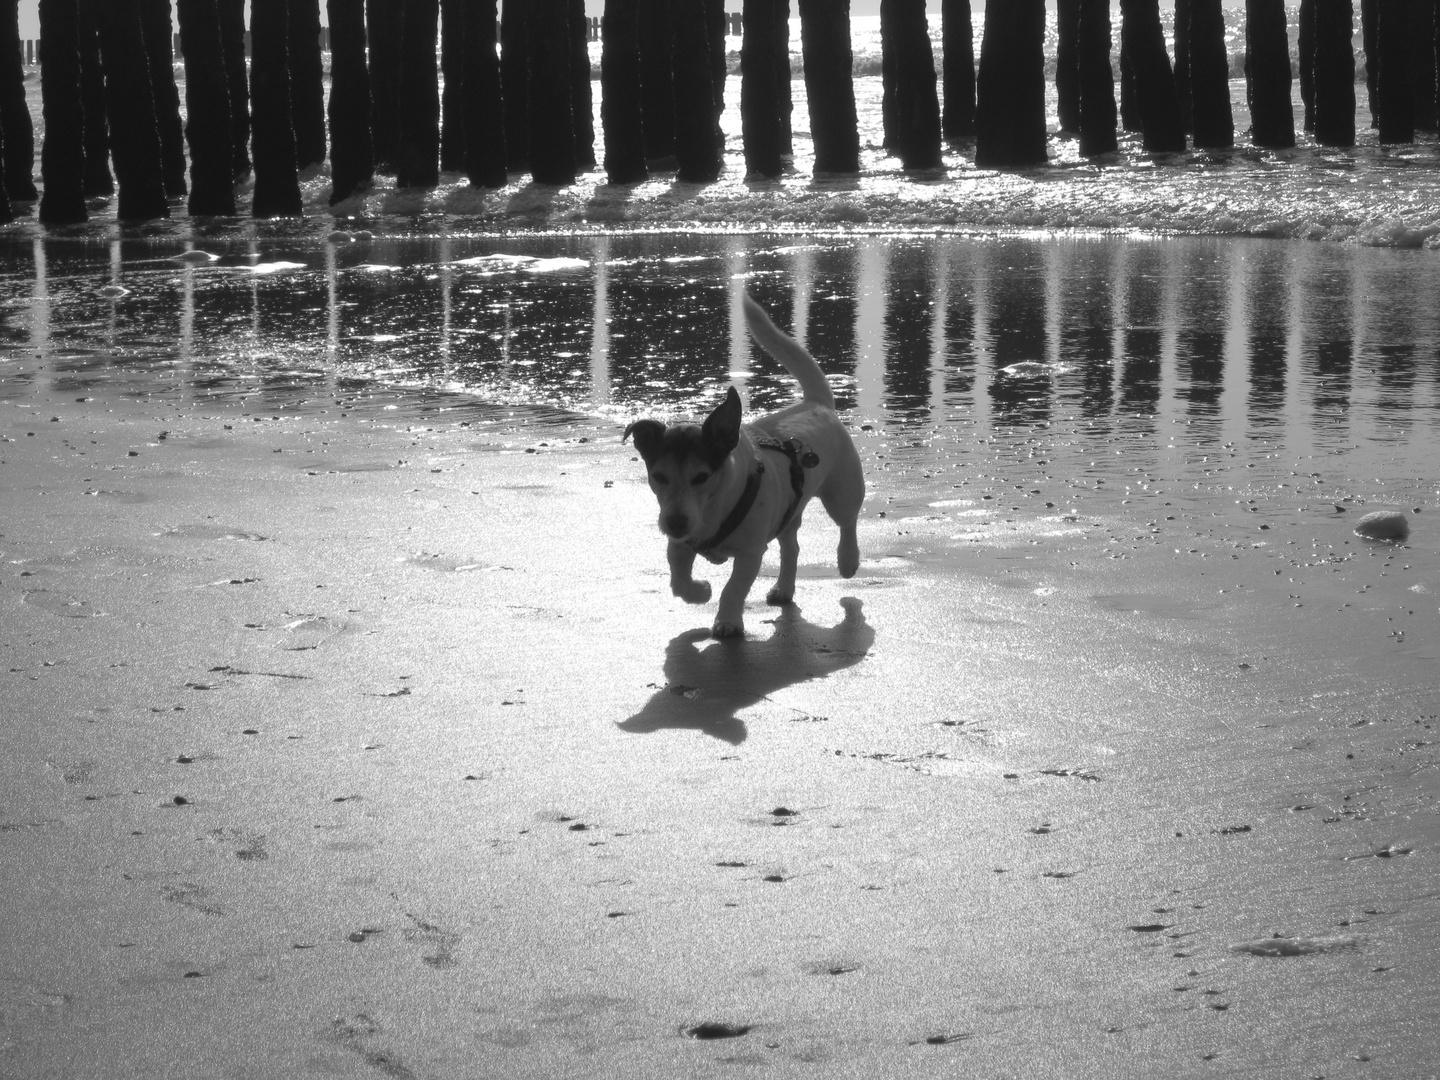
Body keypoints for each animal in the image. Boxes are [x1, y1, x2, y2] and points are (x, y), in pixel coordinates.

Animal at [622, 292, 864, 639]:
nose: (676, 523)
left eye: (702, 477)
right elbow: (678, 579)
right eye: (658, 477)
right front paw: (700, 591)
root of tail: (816, 403)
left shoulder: (750, 553)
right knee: (791, 547)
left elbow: (733, 588)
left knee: (847, 522)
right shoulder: (679, 545)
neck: (714, 509)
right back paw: (784, 588)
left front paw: (727, 621)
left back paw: (847, 560)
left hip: (842, 492)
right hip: (788, 509)